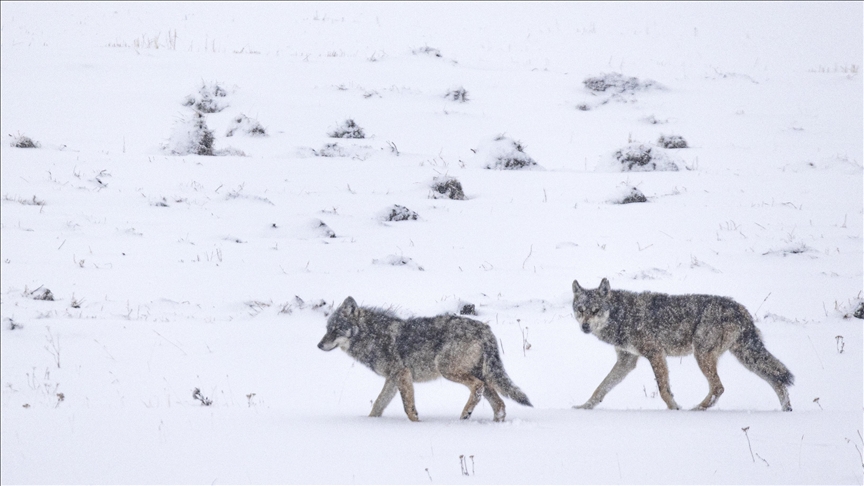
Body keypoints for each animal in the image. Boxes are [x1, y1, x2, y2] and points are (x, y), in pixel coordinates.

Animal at [318, 297, 532, 422]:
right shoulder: (393, 379)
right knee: (500, 404)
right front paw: (369, 423)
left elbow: (407, 407)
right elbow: (378, 405)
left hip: (448, 369)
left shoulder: (402, 374)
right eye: (327, 329)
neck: (371, 336)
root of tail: (486, 329)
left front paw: (416, 423)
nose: (319, 345)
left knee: (478, 387)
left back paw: (465, 414)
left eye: (337, 329)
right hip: (482, 375)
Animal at [571, 278, 794, 411]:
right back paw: (786, 412)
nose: (585, 326)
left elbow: (663, 390)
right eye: (581, 310)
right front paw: (583, 407)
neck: (622, 315)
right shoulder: (627, 361)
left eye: (595, 310)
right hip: (746, 358)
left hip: (703, 355)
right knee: (778, 382)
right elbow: (601, 388)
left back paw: (696, 410)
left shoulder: (655, 353)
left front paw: (675, 410)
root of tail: (740, 308)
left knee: (719, 388)